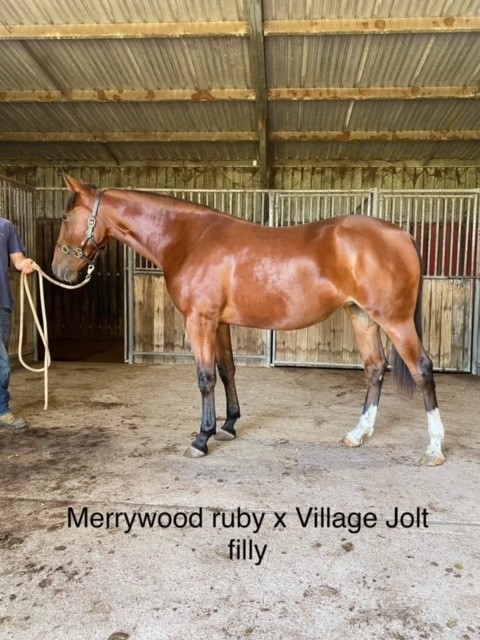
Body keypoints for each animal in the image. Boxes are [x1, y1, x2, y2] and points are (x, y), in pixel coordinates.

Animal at [52, 175, 446, 466]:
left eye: (66, 217)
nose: (59, 270)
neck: (189, 238)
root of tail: (402, 234)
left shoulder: (199, 321)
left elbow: (205, 378)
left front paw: (202, 438)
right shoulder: (220, 323)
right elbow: (227, 370)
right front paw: (228, 425)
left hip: (395, 320)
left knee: (422, 369)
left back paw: (434, 448)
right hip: (362, 316)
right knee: (375, 368)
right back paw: (358, 434)